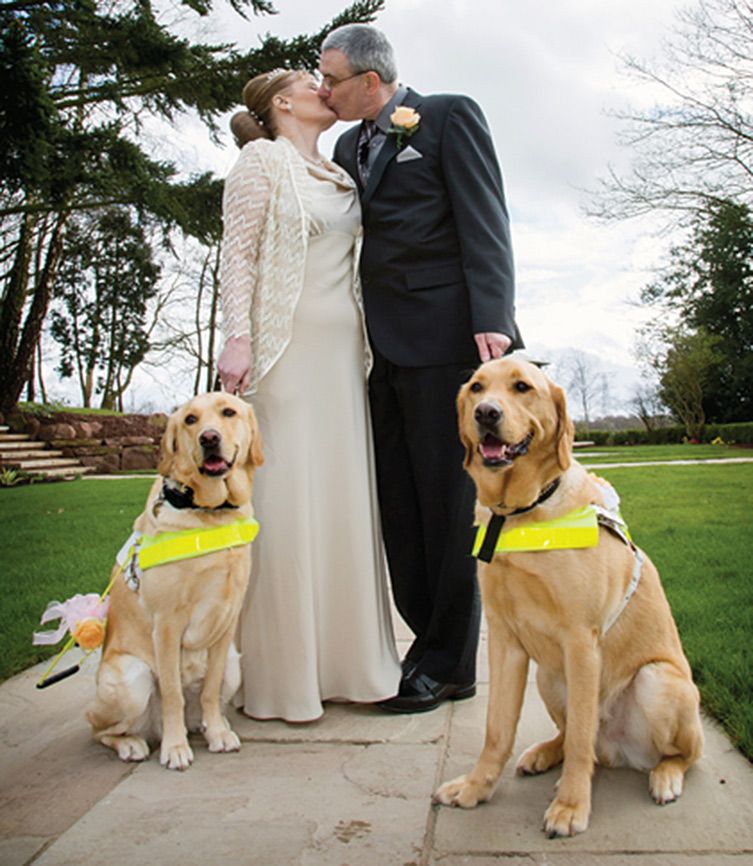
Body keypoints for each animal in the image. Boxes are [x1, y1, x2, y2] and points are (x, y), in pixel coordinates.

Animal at [86, 394, 262, 768]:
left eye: (228, 412)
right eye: (190, 420)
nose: (209, 438)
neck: (210, 513)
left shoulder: (227, 621)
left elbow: (209, 689)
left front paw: (218, 733)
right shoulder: (166, 624)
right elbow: (171, 693)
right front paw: (175, 748)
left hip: (235, 666)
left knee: (201, 705)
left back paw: (210, 725)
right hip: (131, 678)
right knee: (100, 727)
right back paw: (133, 743)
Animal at [432, 358, 704, 836]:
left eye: (522, 387)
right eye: (477, 387)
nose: (486, 413)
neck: (520, 514)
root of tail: (619, 751)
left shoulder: (580, 640)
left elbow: (579, 737)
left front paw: (571, 807)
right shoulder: (504, 640)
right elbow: (497, 729)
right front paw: (476, 788)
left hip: (657, 680)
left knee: (679, 753)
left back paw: (665, 777)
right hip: (548, 675)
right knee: (578, 738)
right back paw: (543, 753)